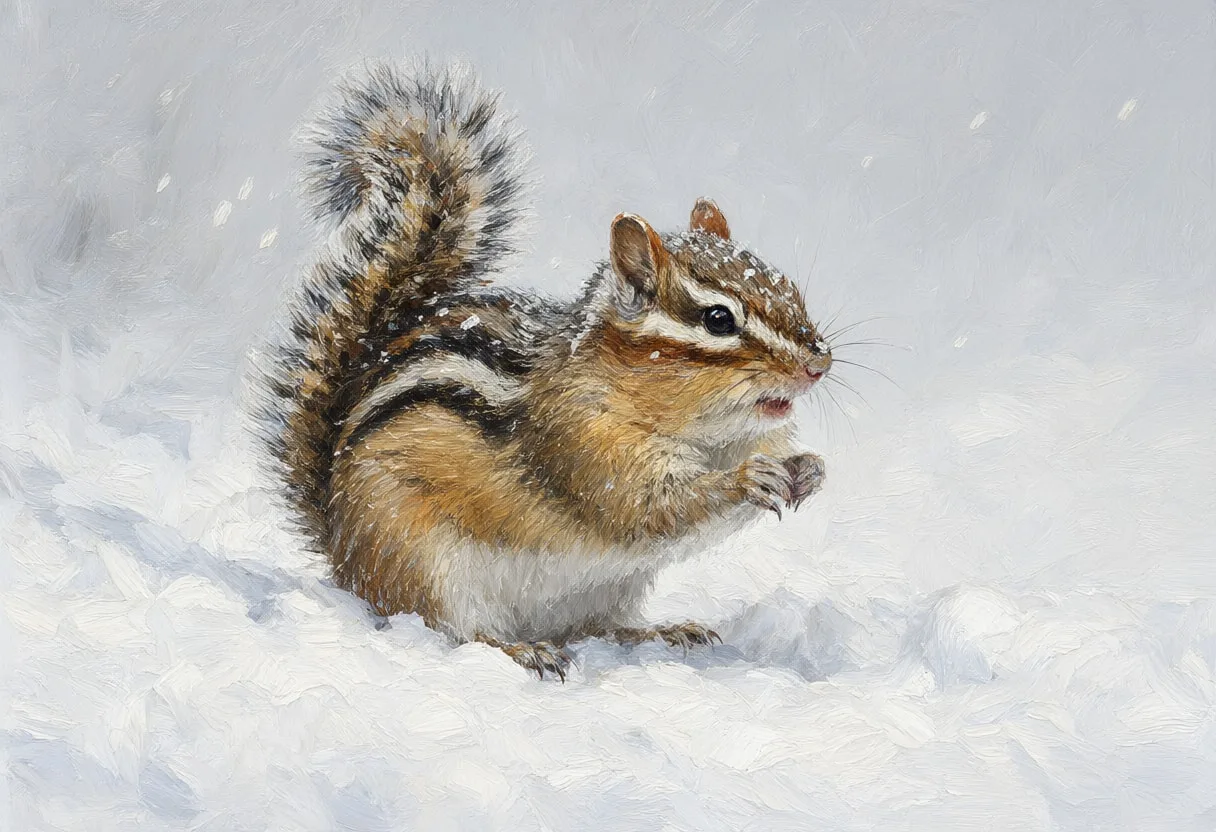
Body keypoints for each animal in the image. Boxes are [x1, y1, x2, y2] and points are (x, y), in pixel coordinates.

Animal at [259, 62, 833, 680]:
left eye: (790, 289)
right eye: (719, 319)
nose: (819, 363)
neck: (709, 435)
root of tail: (342, 554)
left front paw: (810, 469)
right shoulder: (584, 450)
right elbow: (652, 511)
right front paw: (750, 479)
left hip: (609, 589)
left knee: (593, 626)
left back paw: (658, 631)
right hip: (419, 557)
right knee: (452, 629)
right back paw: (519, 649)